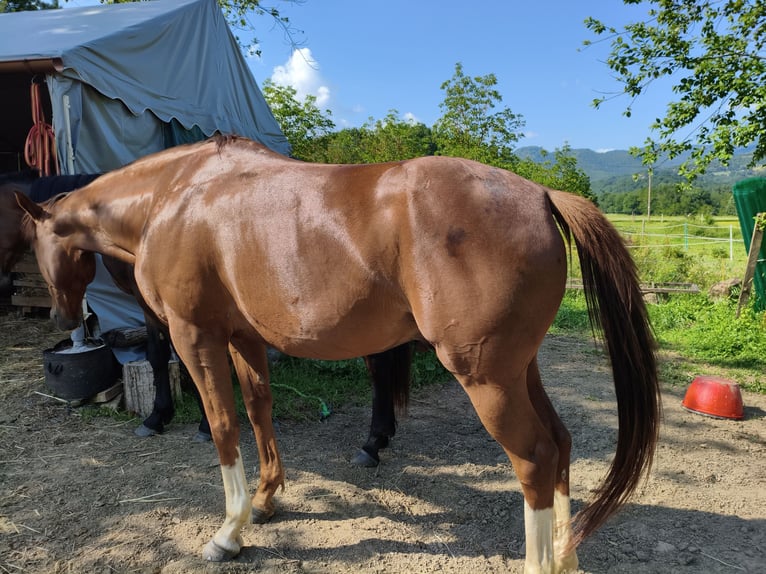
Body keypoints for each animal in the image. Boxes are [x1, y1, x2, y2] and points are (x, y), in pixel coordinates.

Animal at [1, 177, 408, 464]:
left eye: (33, 243)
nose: (60, 317)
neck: (144, 219)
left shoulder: (168, 311)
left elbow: (169, 359)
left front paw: (173, 419)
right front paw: (171, 417)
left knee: (378, 364)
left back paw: (372, 443)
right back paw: (382, 435)